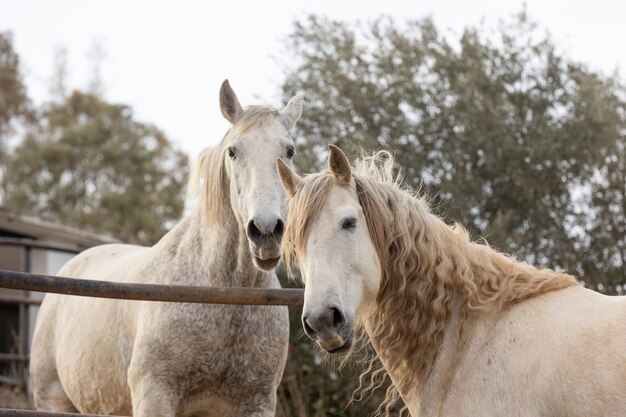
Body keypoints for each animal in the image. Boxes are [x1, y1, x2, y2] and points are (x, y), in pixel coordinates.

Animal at [30, 81, 304, 416]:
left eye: (289, 151)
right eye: (233, 151)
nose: (266, 231)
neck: (222, 295)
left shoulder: (257, 403)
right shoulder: (155, 396)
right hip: (53, 400)